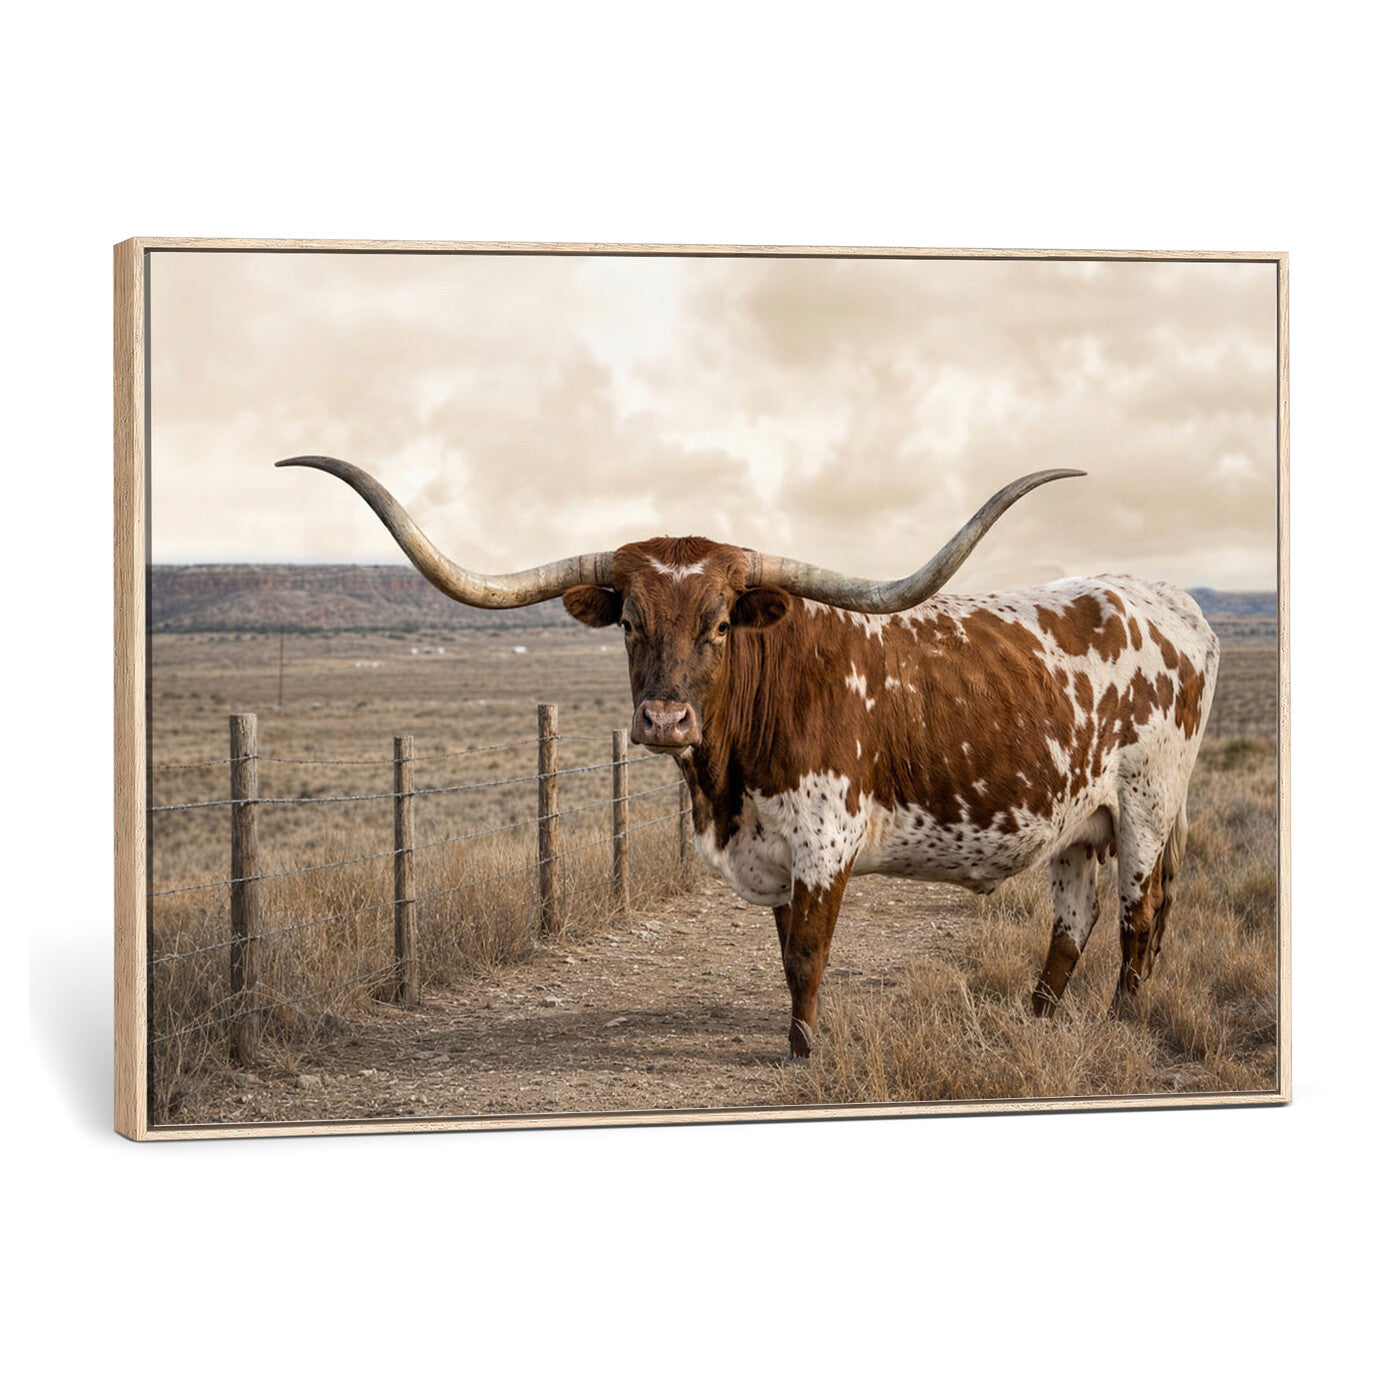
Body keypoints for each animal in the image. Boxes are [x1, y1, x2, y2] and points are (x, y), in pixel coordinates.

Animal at [280, 455, 1219, 1060]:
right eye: (629, 621)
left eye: (721, 622)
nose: (664, 719)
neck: (725, 785)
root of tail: (1170, 599)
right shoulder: (770, 851)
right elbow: (783, 952)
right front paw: (798, 1036)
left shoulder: (824, 845)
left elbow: (807, 954)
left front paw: (803, 1052)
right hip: (1076, 820)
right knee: (1074, 921)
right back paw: (1036, 1018)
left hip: (1146, 808)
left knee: (1140, 918)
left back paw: (1121, 1024)